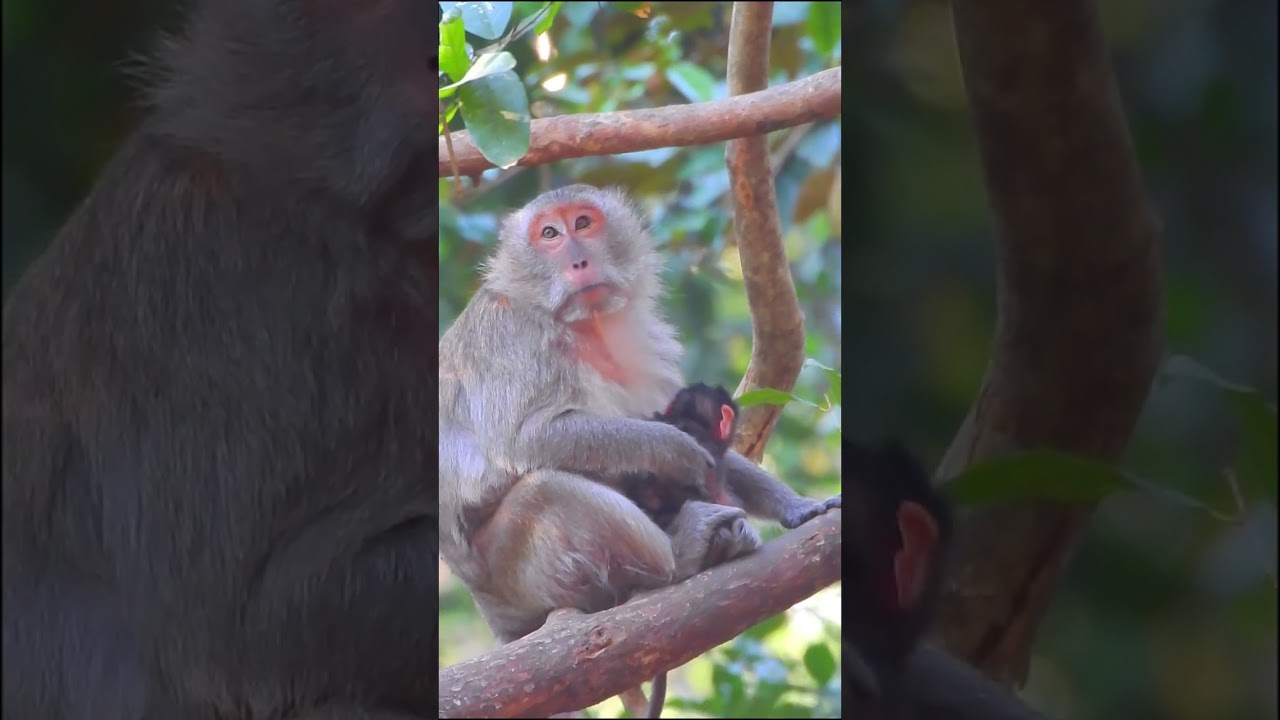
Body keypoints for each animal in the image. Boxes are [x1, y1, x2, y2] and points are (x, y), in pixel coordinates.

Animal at [438, 185, 843, 718]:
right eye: (549, 234)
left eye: (583, 223)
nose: (578, 260)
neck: (586, 328)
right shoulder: (512, 335)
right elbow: (527, 439)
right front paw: (676, 448)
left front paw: (797, 506)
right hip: (513, 575)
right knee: (546, 490)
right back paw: (681, 555)